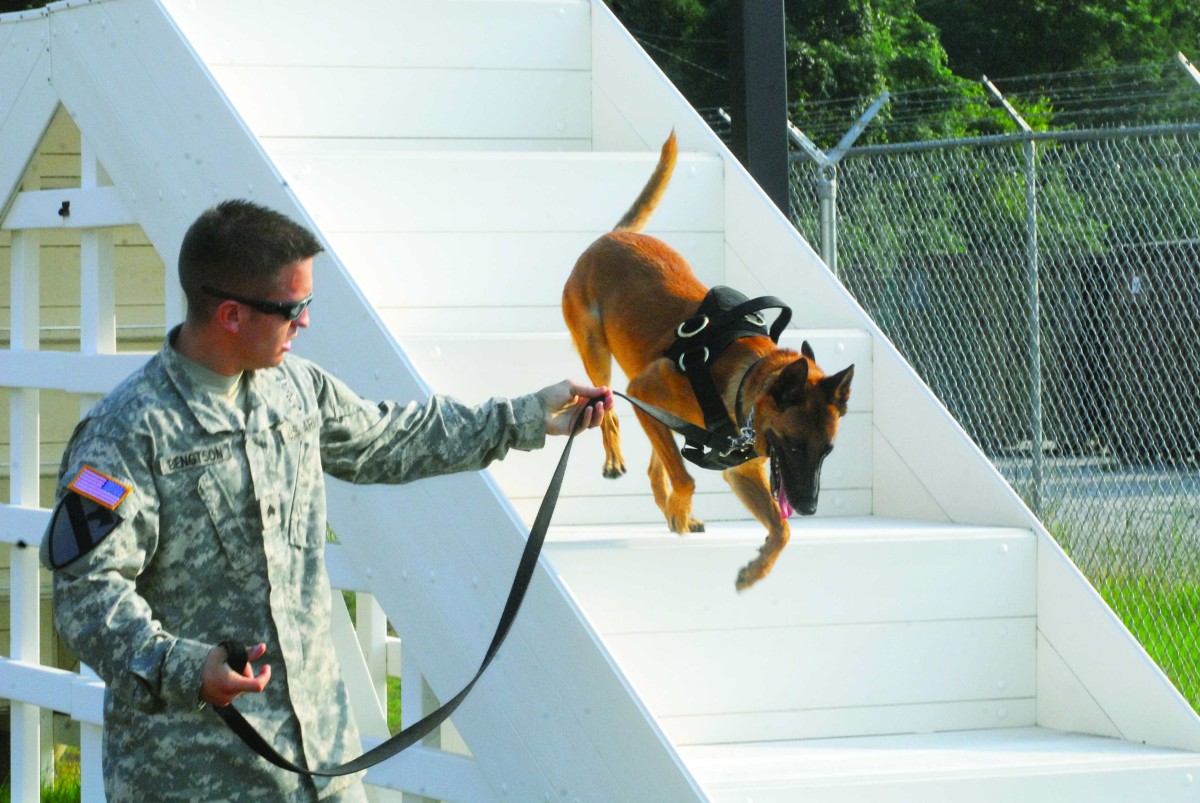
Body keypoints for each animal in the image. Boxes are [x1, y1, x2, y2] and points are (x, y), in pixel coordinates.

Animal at [561, 133, 854, 588]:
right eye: (794, 445)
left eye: (827, 451)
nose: (809, 508)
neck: (745, 378)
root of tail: (614, 235)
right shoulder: (642, 391)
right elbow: (686, 478)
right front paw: (680, 511)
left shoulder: (741, 471)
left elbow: (781, 529)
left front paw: (754, 571)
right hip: (600, 358)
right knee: (608, 410)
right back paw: (616, 461)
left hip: (653, 410)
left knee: (655, 463)